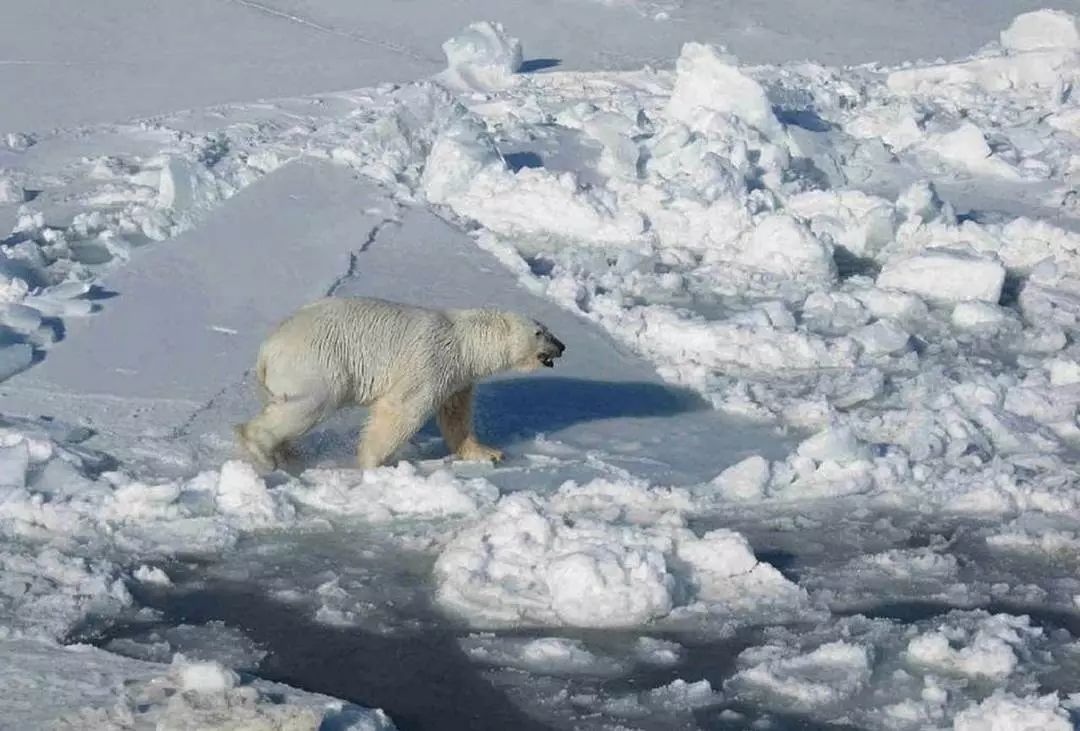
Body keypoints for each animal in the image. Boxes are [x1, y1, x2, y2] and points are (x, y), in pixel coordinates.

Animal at [234, 295, 565, 470]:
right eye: (540, 332)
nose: (562, 346)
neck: (464, 341)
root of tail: (268, 348)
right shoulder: (431, 361)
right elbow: (403, 408)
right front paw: (372, 462)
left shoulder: (458, 378)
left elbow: (456, 417)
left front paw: (488, 452)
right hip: (318, 362)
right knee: (310, 404)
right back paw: (261, 450)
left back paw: (288, 454)